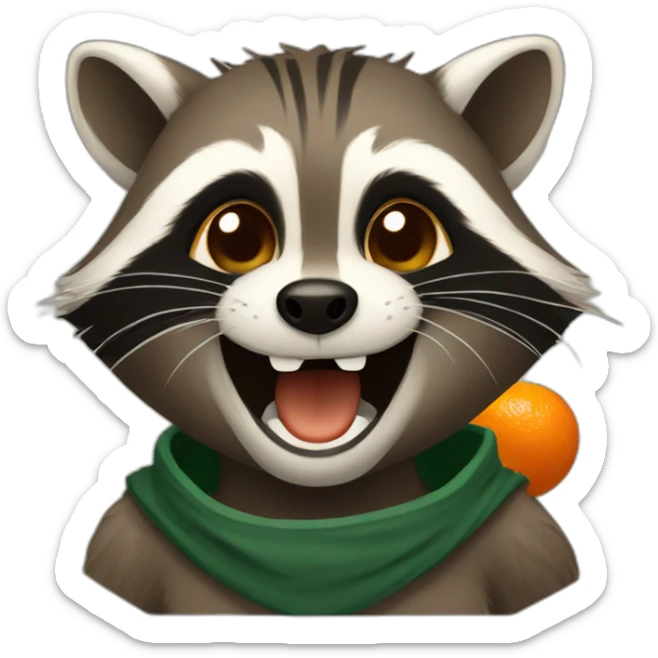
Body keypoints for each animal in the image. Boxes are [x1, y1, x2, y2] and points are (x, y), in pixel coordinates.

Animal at [44, 34, 600, 614]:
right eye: (233, 235)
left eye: (402, 234)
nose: (315, 303)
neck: (318, 522)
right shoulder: (120, 544)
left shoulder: (529, 544)